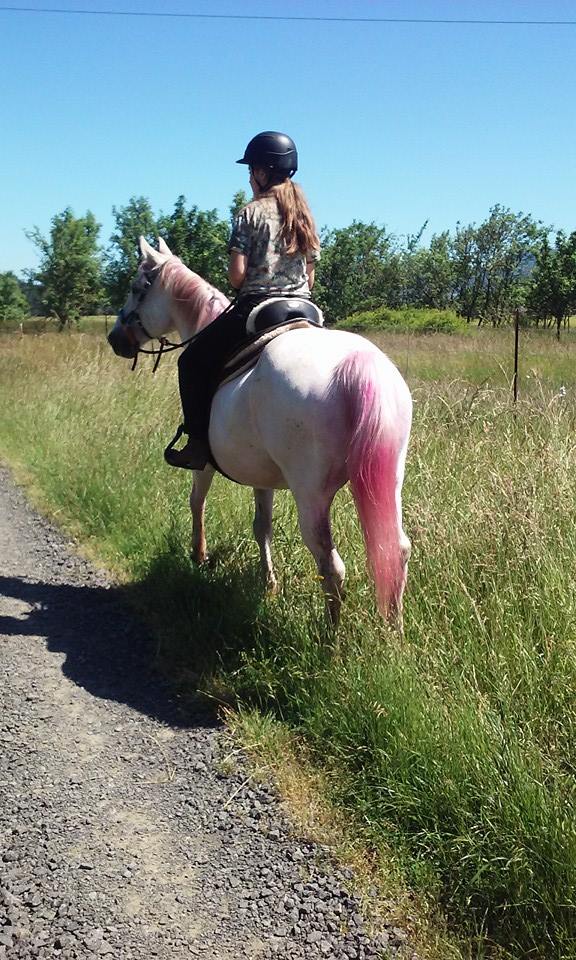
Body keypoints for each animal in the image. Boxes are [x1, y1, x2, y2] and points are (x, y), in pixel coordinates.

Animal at [107, 236, 412, 627]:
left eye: (136, 288)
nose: (116, 338)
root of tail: (354, 363)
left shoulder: (204, 463)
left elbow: (196, 501)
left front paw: (198, 556)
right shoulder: (263, 477)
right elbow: (262, 526)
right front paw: (269, 586)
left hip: (311, 493)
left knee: (330, 564)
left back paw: (332, 636)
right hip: (387, 480)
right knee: (393, 550)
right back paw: (394, 631)